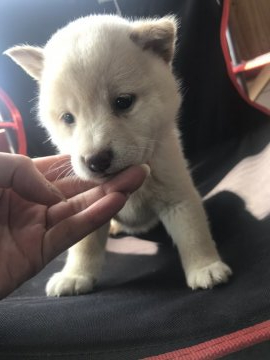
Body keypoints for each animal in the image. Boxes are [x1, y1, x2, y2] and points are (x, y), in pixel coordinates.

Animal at [5, 14, 231, 296]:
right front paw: (75, 275)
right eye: (67, 118)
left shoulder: (177, 194)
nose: (96, 160)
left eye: (123, 101)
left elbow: (193, 232)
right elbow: (84, 245)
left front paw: (205, 267)